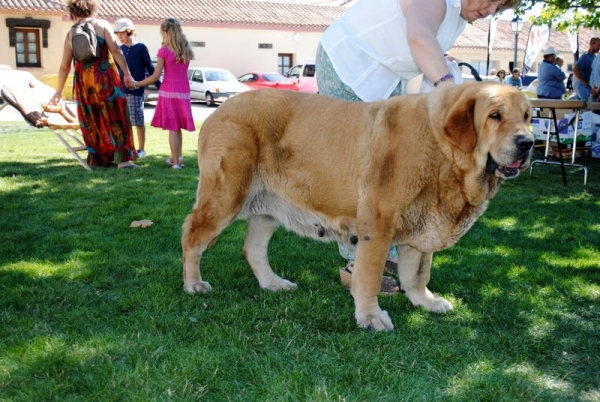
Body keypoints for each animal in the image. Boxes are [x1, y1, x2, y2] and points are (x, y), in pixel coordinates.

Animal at [180, 81, 532, 330]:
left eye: (528, 117)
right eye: (495, 116)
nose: (528, 142)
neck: (442, 149)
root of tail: (218, 110)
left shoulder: (421, 225)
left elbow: (417, 275)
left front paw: (425, 303)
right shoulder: (378, 224)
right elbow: (369, 276)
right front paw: (370, 317)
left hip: (268, 209)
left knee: (252, 249)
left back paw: (273, 284)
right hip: (225, 197)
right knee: (192, 237)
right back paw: (193, 283)